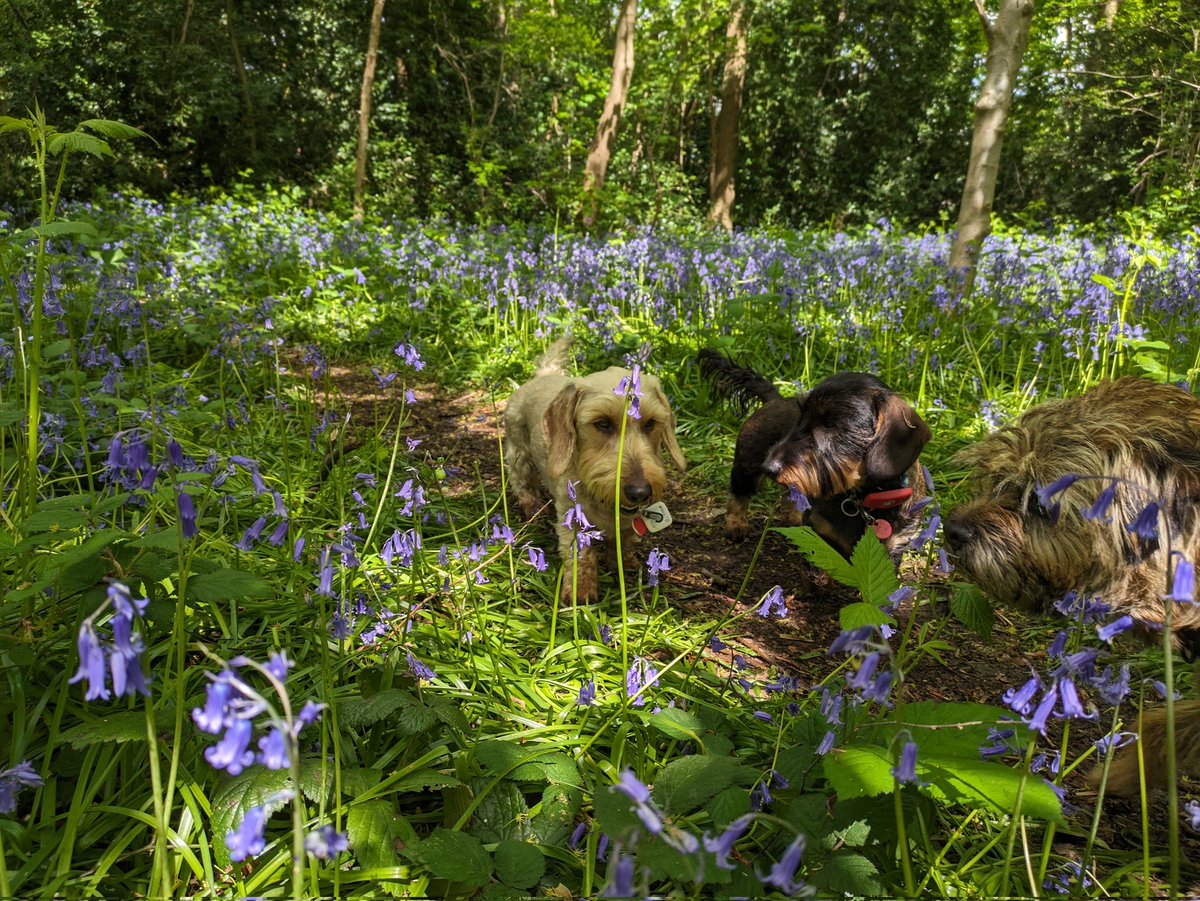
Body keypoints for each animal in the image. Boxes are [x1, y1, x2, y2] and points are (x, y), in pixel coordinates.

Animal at [504, 340, 686, 602]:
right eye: (603, 423)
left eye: (651, 423)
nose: (639, 492)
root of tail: (544, 376)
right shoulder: (572, 516)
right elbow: (582, 555)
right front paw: (581, 591)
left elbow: (624, 541)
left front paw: (624, 562)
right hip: (519, 452)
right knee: (521, 482)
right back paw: (532, 506)